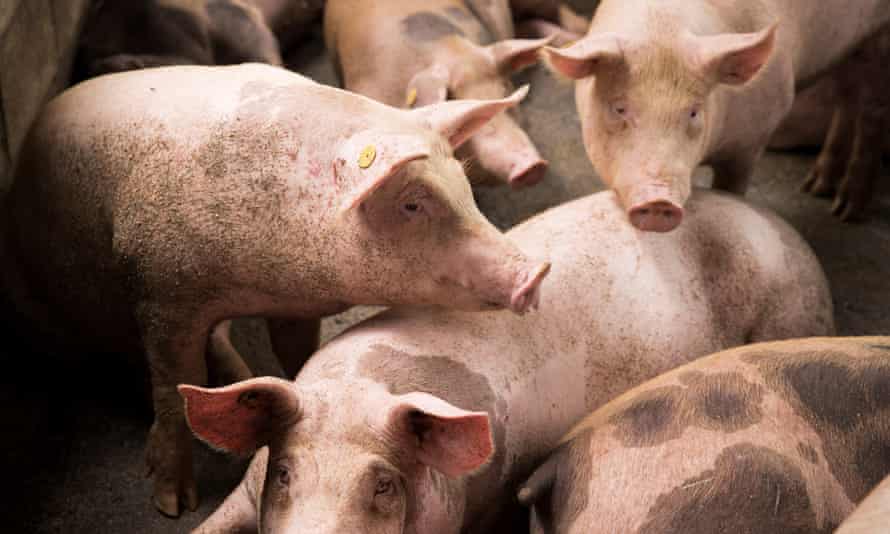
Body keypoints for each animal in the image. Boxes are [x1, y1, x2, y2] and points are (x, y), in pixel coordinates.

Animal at [0, 62, 548, 520]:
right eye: (413, 203)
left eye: (465, 187)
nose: (536, 271)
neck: (266, 277)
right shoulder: (160, 289)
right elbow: (173, 382)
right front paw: (173, 506)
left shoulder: (295, 306)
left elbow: (294, 350)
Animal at [180, 189, 832, 534]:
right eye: (286, 473)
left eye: (384, 484)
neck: (360, 385)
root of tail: (789, 234)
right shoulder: (247, 493)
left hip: (788, 313)